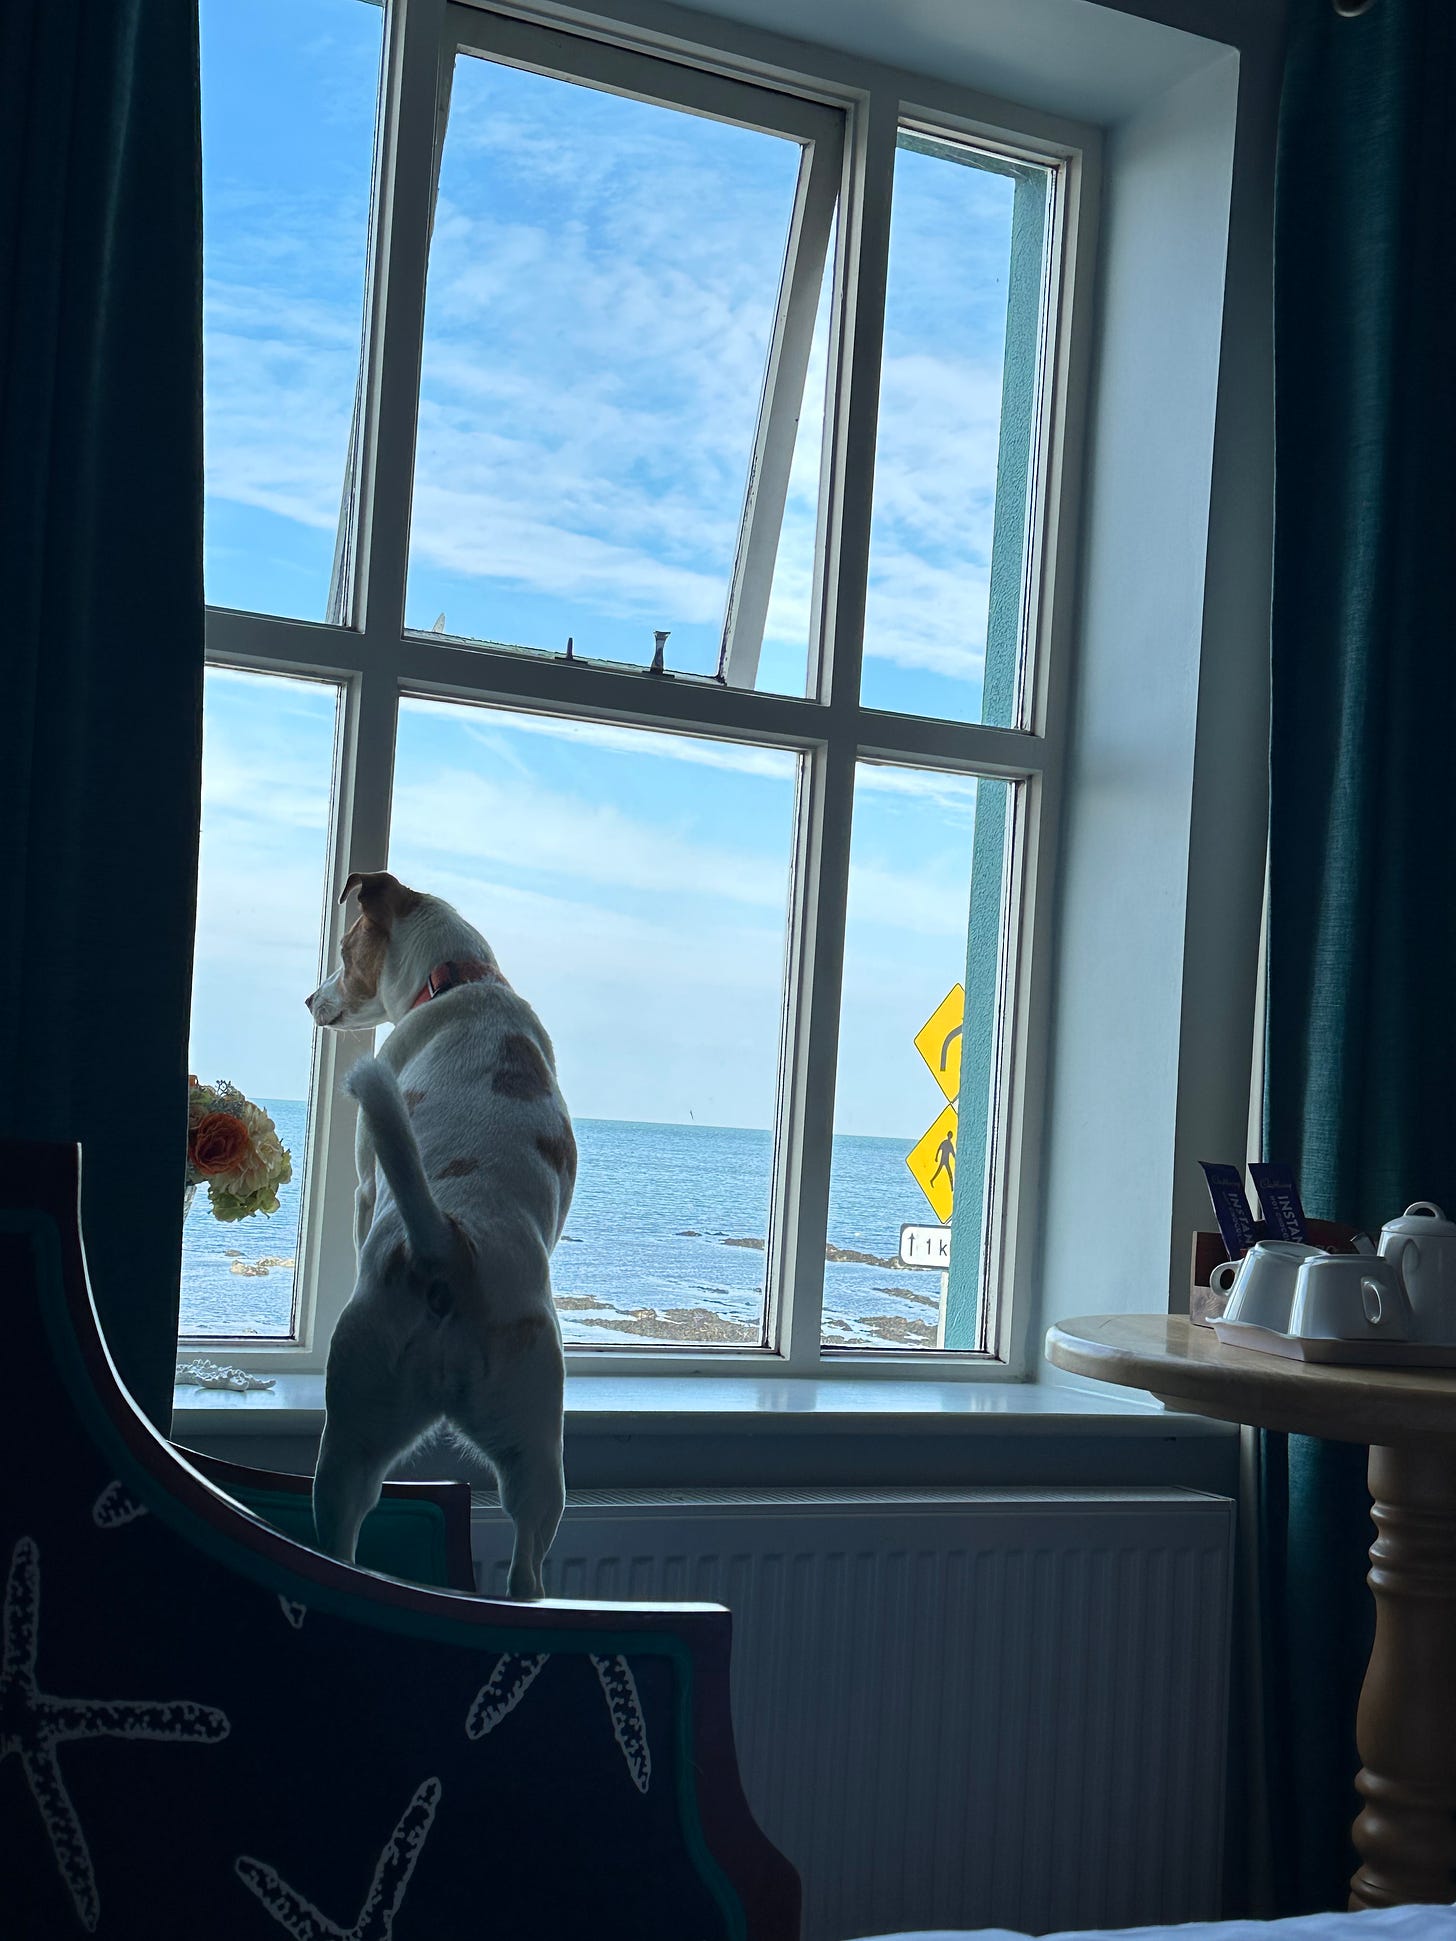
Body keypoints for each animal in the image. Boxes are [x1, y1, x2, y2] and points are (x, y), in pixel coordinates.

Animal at [304, 873, 578, 1599]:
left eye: (346, 949)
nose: (310, 999)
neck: (459, 980)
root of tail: (452, 1245)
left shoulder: (365, 1184)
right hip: (536, 1462)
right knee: (527, 1570)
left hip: (348, 1435)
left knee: (338, 1535)